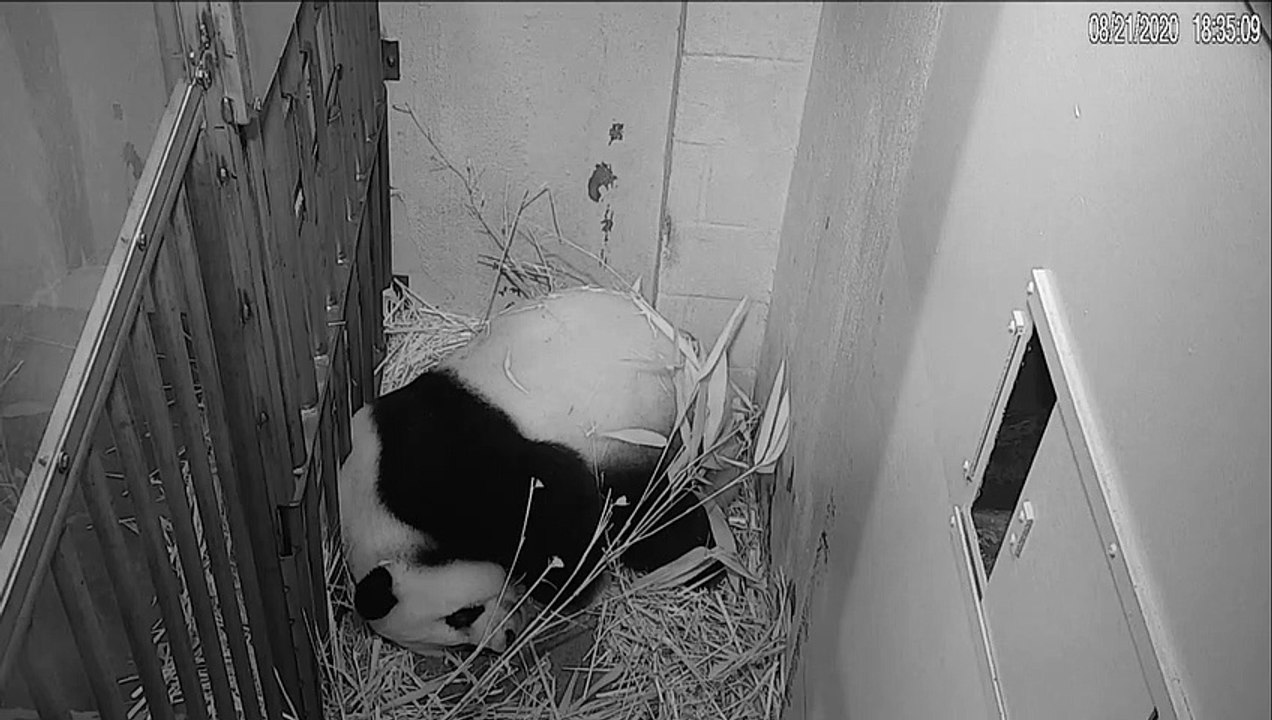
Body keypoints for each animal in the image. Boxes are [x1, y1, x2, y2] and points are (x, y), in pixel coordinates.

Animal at [338, 287, 718, 654]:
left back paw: (697, 560)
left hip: (637, 425)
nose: (503, 638)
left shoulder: (440, 465)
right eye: (457, 646)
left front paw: (566, 586)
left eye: (461, 615)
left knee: (649, 505)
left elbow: (555, 505)